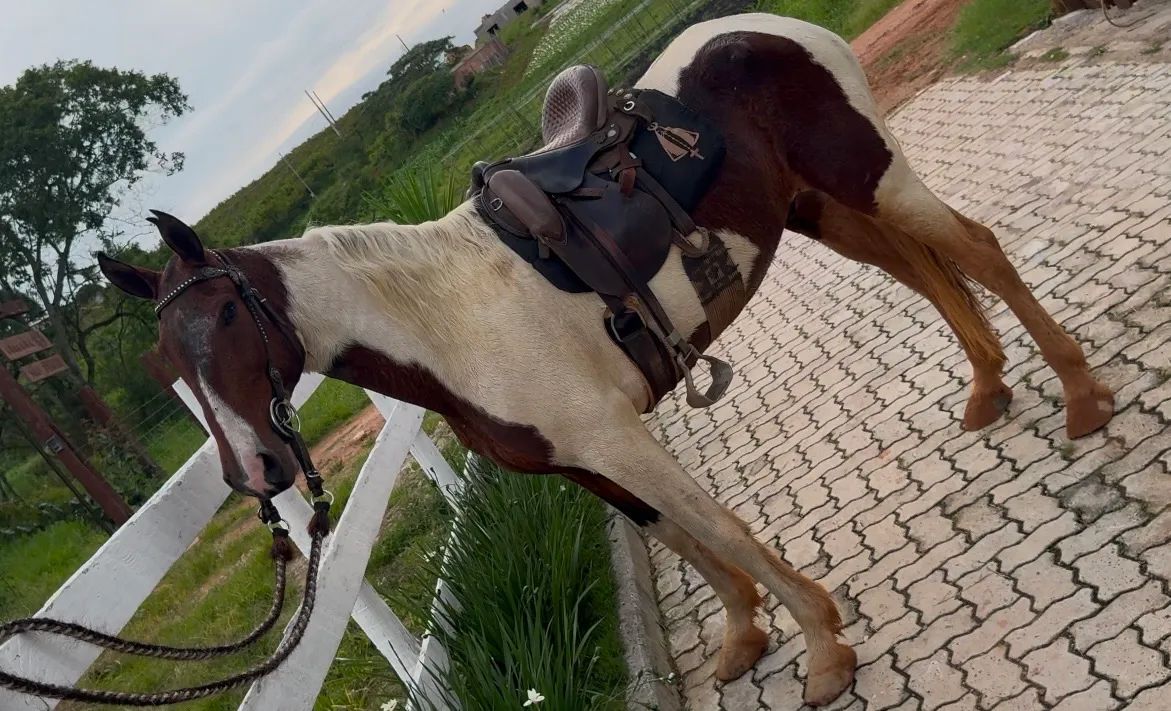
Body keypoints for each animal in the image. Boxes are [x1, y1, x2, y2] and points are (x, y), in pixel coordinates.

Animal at [98, 14, 1114, 706]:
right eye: (168, 358)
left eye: (229, 318)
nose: (254, 470)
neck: (449, 323)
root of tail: (763, 28)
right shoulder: (583, 463)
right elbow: (680, 538)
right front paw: (743, 636)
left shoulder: (617, 437)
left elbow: (719, 528)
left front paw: (824, 648)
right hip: (818, 208)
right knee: (925, 275)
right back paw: (988, 389)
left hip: (869, 176)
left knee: (975, 249)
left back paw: (1080, 400)